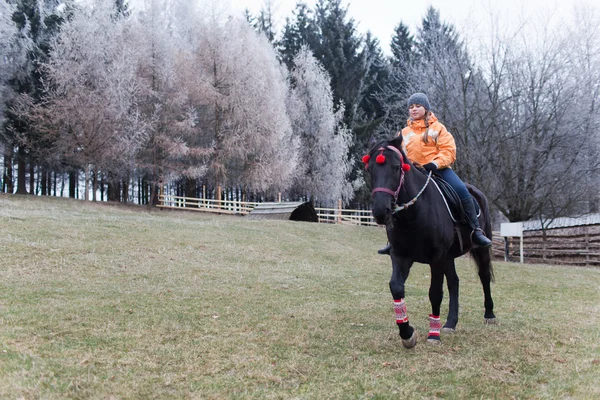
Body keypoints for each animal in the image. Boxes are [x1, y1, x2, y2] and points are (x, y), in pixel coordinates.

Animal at [364, 136, 494, 348]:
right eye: (370, 169)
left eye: (397, 167)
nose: (380, 211)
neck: (414, 214)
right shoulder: (400, 255)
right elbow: (396, 287)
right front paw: (407, 333)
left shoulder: (437, 257)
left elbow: (435, 292)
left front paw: (433, 334)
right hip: (449, 257)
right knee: (454, 282)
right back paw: (450, 323)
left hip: (478, 250)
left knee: (484, 276)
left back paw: (489, 314)